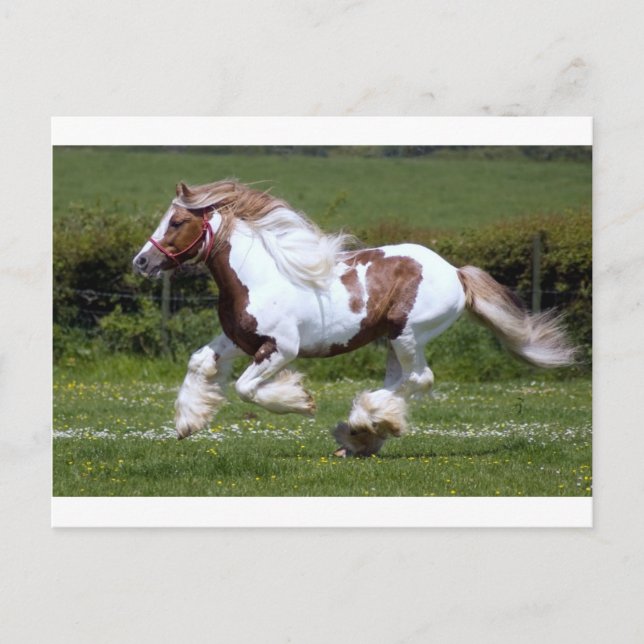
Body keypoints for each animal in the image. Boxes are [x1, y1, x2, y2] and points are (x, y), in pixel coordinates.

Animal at [133, 180, 576, 456]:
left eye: (177, 222)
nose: (141, 262)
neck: (260, 275)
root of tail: (456, 273)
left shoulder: (281, 349)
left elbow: (245, 388)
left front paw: (300, 401)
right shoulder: (237, 340)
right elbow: (199, 363)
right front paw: (188, 423)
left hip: (408, 334)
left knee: (419, 379)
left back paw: (363, 425)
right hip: (394, 341)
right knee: (402, 381)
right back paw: (362, 435)